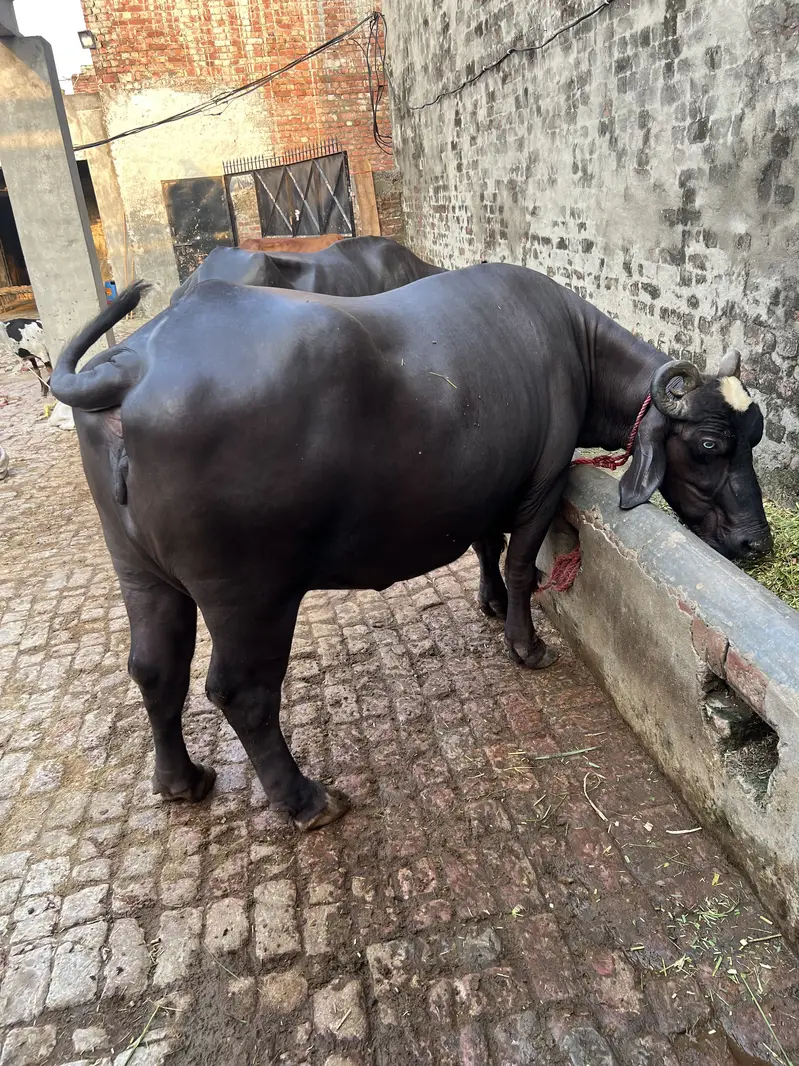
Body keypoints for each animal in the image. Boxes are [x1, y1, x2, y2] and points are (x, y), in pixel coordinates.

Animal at [51, 265, 771, 829]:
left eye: (755, 436)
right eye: (710, 444)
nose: (756, 541)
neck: (573, 349)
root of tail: (136, 366)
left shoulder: (485, 483)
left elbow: (483, 545)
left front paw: (487, 603)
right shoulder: (541, 485)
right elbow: (519, 564)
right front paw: (526, 644)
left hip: (140, 571)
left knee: (154, 669)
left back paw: (183, 780)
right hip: (250, 594)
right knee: (240, 692)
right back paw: (305, 800)